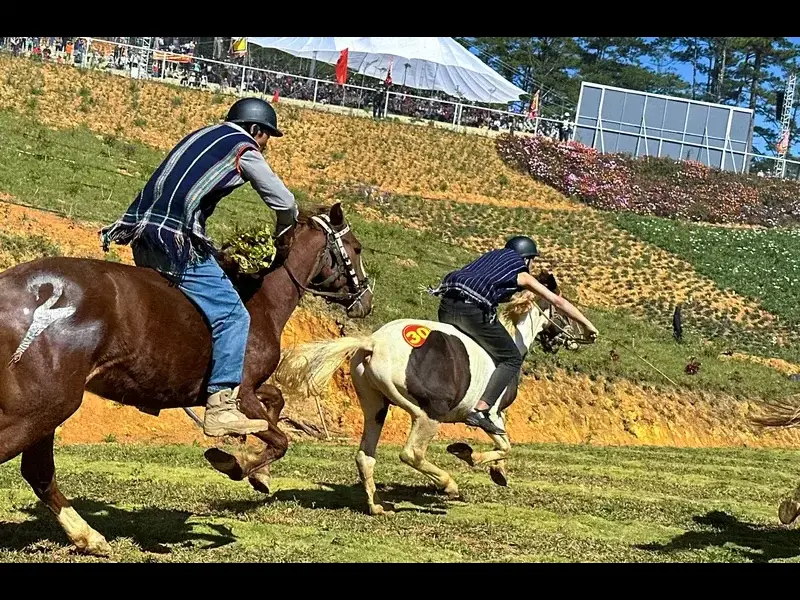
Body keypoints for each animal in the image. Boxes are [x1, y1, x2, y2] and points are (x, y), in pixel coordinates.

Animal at [0, 200, 372, 552]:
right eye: (355, 247)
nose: (366, 299)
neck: (260, 300)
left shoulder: (242, 391)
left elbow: (276, 402)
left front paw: (259, 472)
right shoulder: (241, 392)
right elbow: (279, 440)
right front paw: (239, 464)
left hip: (47, 413)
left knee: (39, 473)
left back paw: (88, 537)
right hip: (41, 410)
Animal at [276, 272, 580, 516]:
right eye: (561, 307)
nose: (573, 339)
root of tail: (373, 342)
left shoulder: (492, 416)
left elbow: (503, 448)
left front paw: (497, 472)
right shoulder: (491, 414)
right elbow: (505, 446)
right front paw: (469, 456)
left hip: (375, 408)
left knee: (365, 456)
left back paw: (377, 506)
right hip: (427, 414)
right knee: (412, 453)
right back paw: (449, 485)